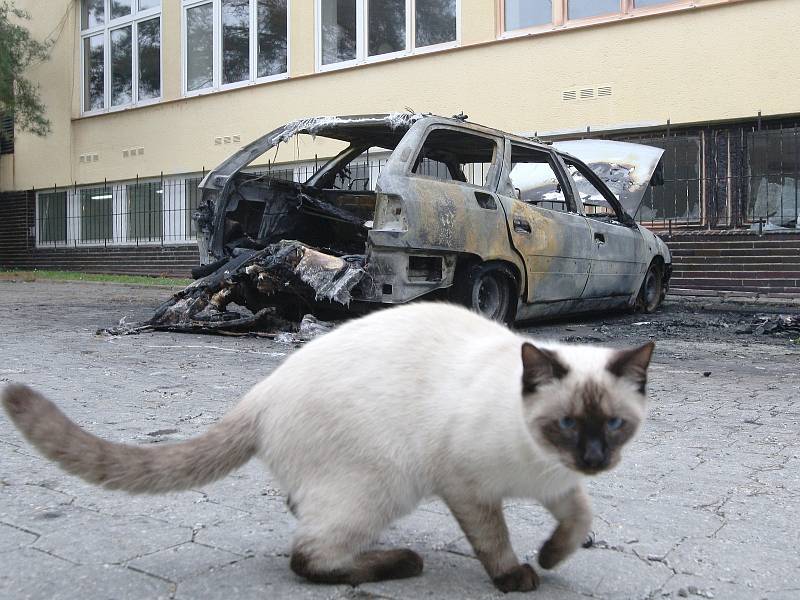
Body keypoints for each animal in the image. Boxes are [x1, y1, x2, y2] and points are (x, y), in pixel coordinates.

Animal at [3, 302, 652, 592]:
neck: (539, 463)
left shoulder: (559, 485)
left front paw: (551, 557)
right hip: (383, 487)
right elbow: (494, 541)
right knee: (309, 557)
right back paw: (401, 563)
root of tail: (261, 391)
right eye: (566, 424)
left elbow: (579, 518)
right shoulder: (466, 488)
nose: (594, 459)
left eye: (614, 426)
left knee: (302, 515)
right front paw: (519, 575)